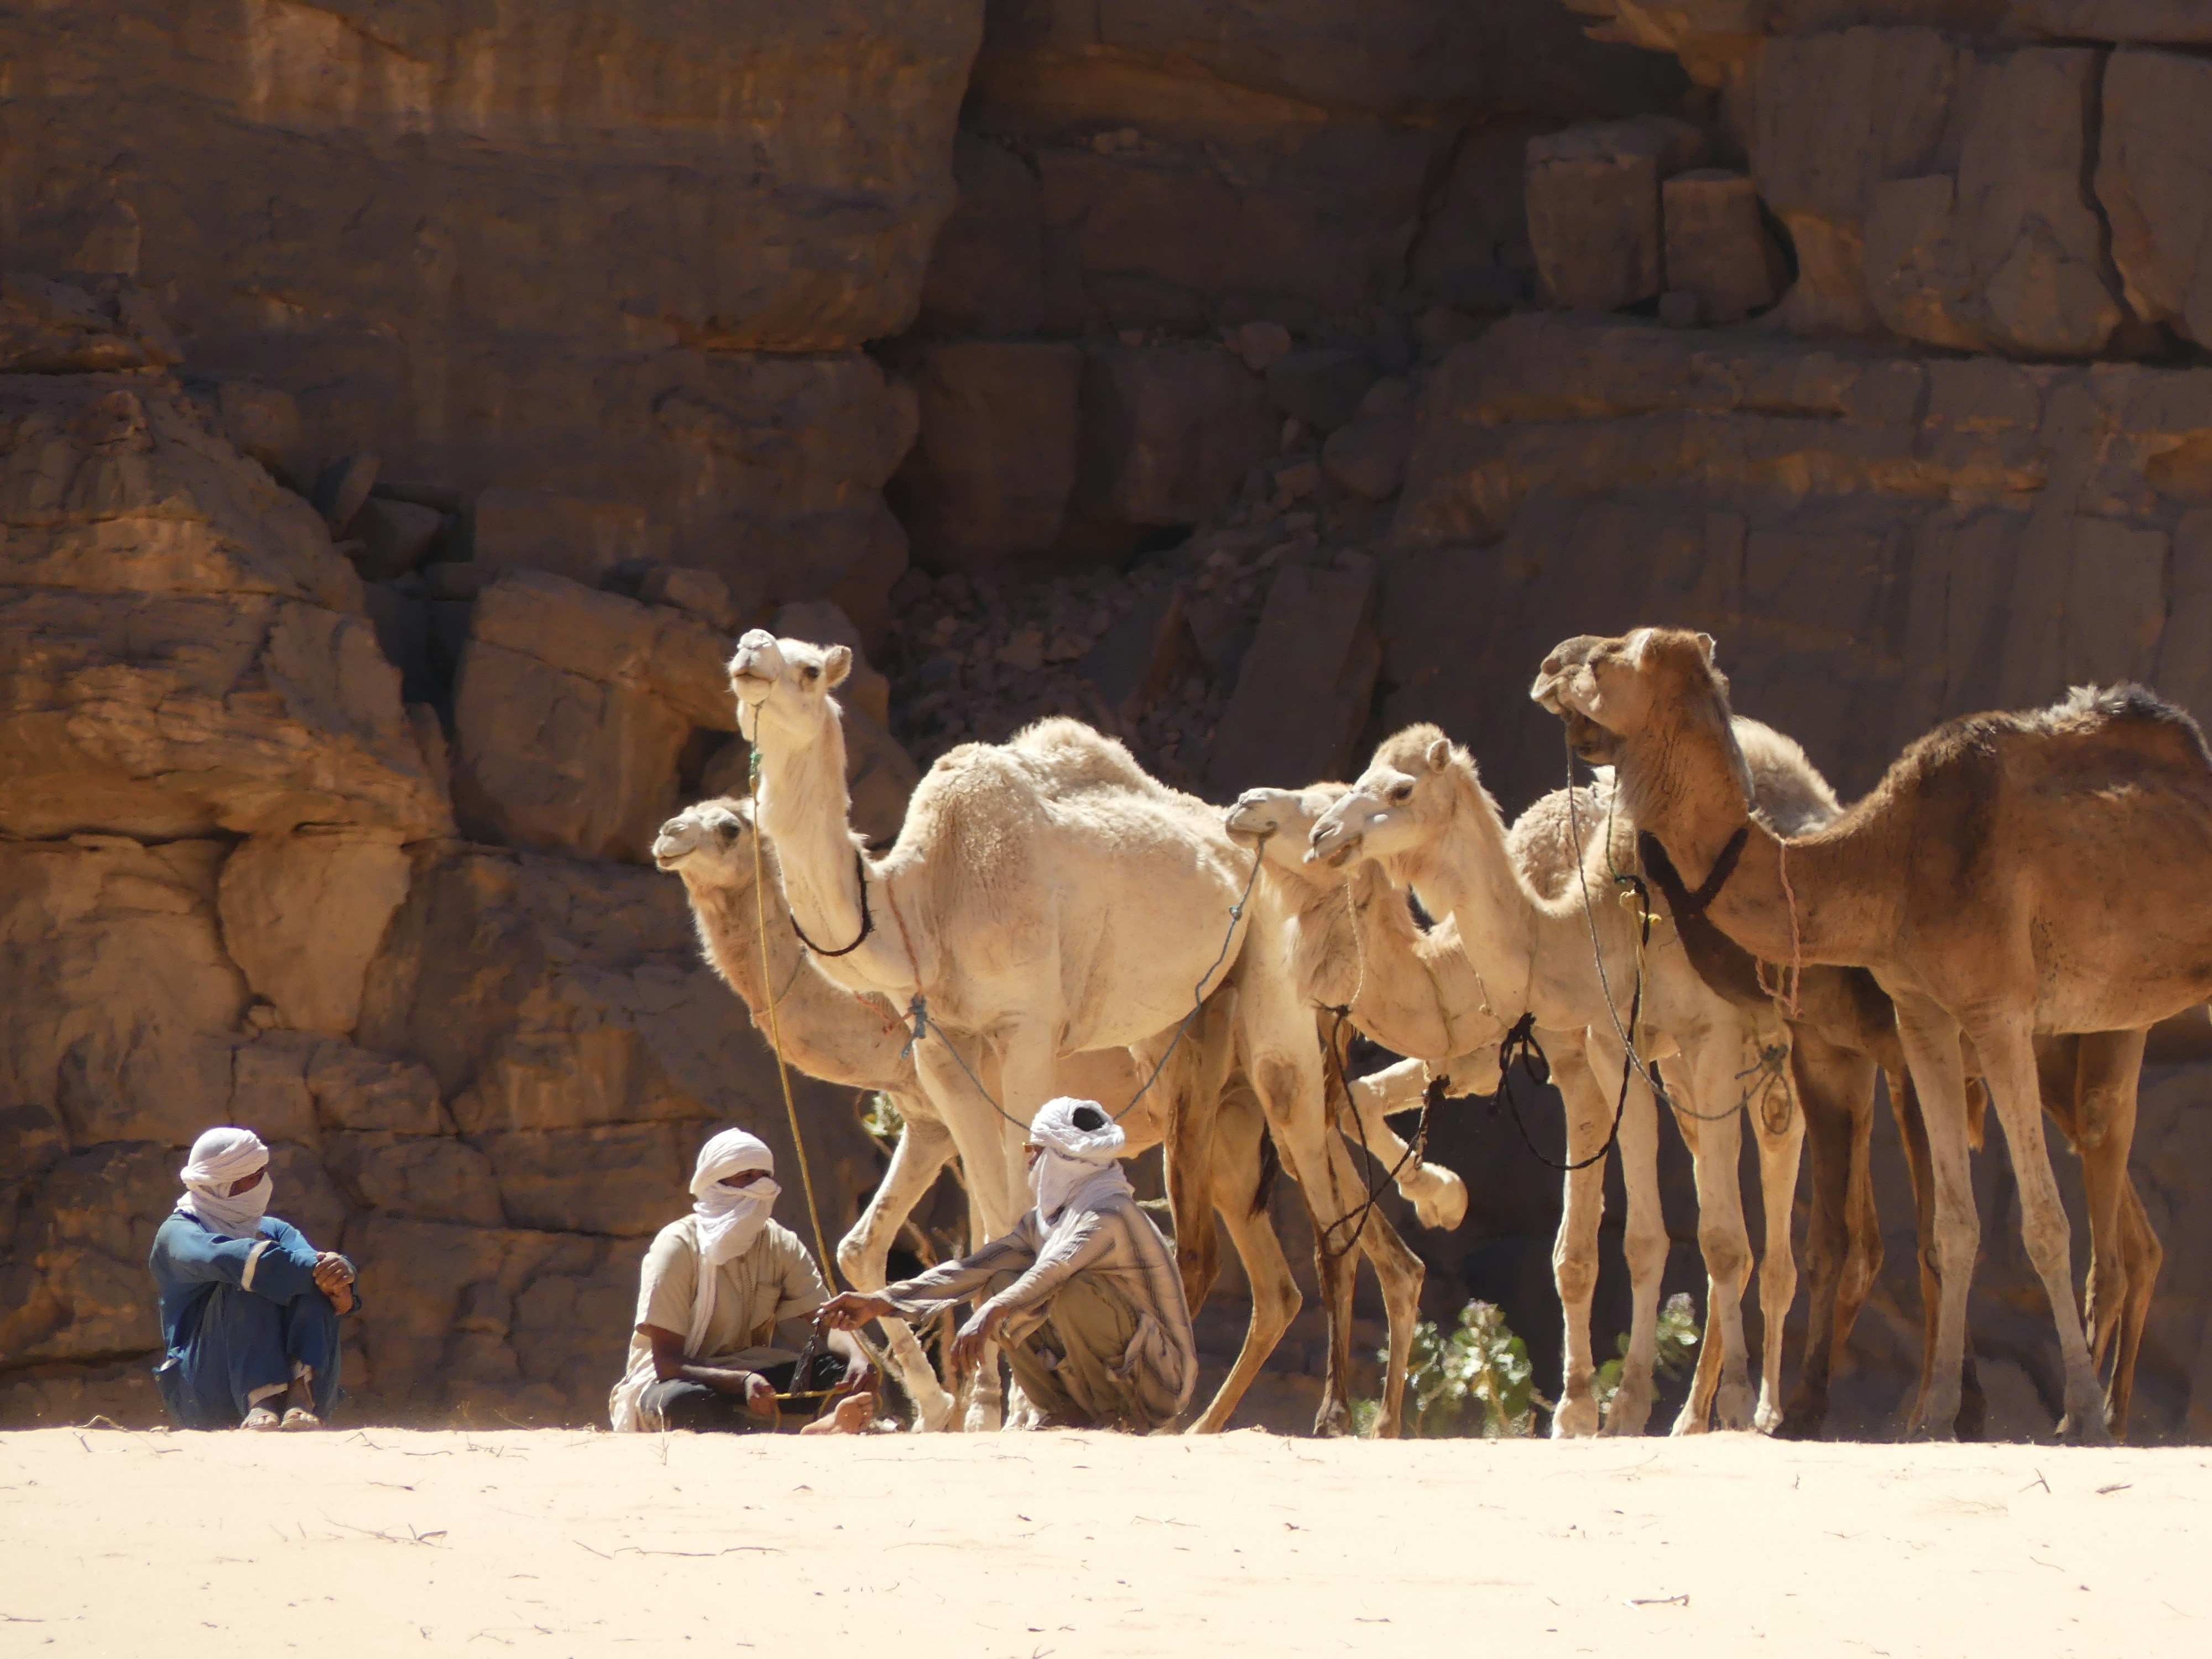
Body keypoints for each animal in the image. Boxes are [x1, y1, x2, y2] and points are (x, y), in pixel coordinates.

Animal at [724, 631, 1429, 1433]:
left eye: (810, 670)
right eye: (749, 645)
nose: (750, 656)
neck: (923, 902)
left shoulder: (1027, 1030)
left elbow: (1017, 1209)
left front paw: (1013, 1409)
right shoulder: (942, 1051)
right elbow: (990, 1219)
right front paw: (983, 1407)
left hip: (1276, 1011)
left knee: (1321, 1207)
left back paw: (1329, 1416)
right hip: (1202, 1064)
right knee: (1276, 1265)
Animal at [1306, 732, 1806, 1436]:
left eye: (1400, 790)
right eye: (1352, 784)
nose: (1325, 835)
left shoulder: (1636, 1041)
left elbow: (1643, 1240)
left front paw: (1595, 1408)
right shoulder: (1537, 1053)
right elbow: (1605, 1245)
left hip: (1767, 1045)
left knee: (1773, 1168)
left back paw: (1758, 1409)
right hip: (1681, 1070)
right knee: (1719, 1191)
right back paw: (1689, 1418)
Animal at [1532, 627, 2212, 1441]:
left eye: (1613, 660)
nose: (1549, 664)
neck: (1881, 860)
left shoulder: (1997, 1009)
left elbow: (2044, 1222)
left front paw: (2072, 1411)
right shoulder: (1921, 1014)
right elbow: (1951, 1224)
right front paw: (1937, 1414)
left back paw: (2102, 1414)